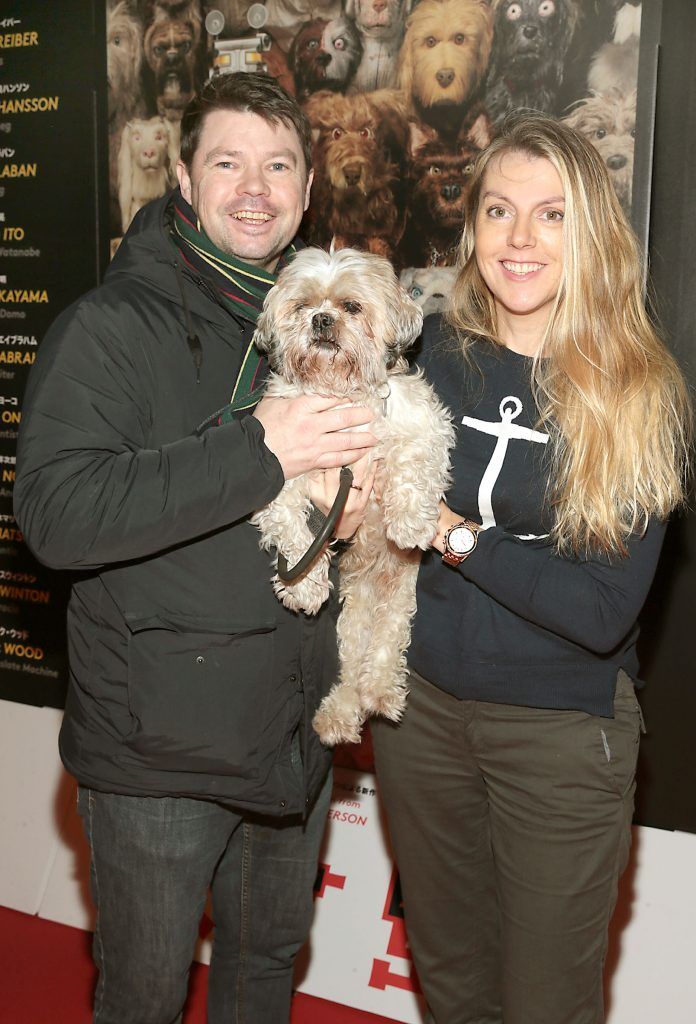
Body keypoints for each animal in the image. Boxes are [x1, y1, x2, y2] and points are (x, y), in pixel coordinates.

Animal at [252, 247, 454, 745]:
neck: (340, 395)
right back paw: (339, 713)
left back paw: (381, 691)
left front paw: (409, 521)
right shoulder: (282, 466)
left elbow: (411, 463)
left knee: (386, 646)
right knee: (350, 663)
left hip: (400, 596)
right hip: (351, 616)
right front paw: (303, 585)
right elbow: (291, 529)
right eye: (303, 306)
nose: (322, 319)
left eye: (351, 307)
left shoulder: (423, 424)